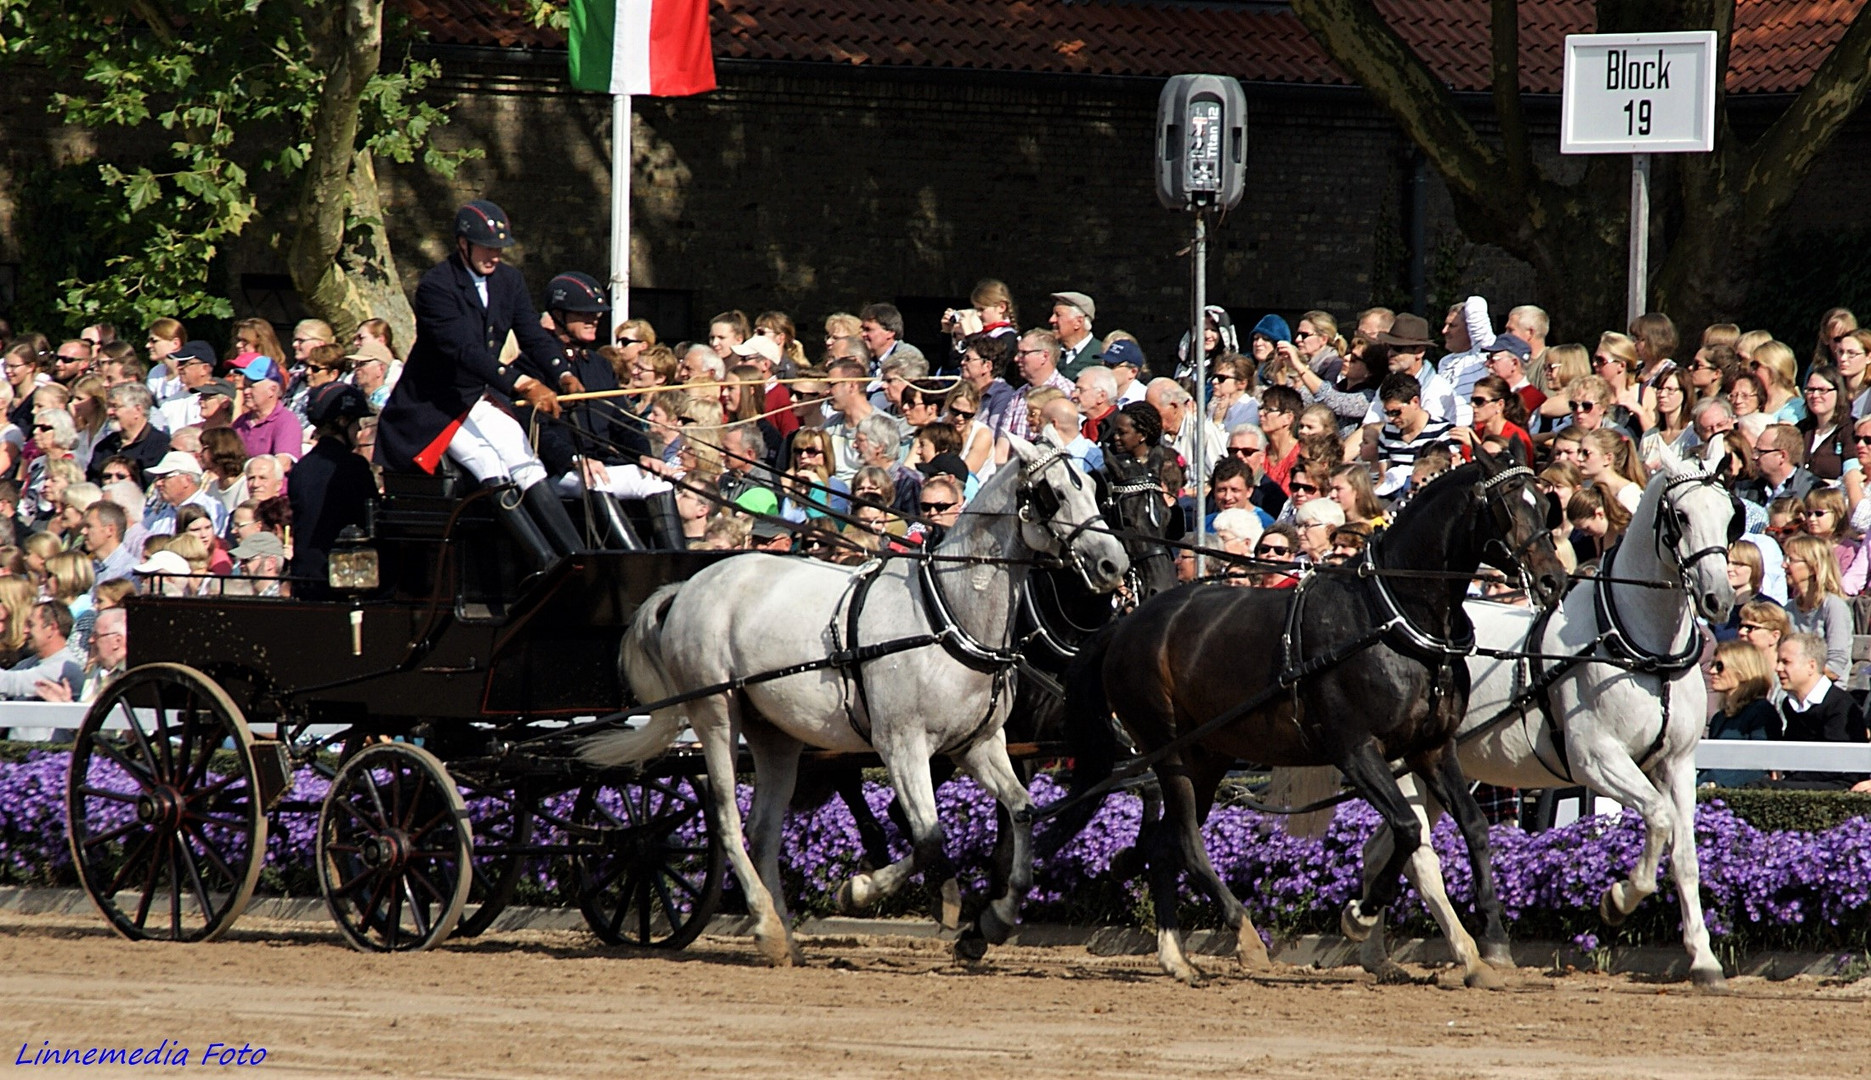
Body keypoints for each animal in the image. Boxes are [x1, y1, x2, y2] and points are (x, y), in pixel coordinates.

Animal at [583, 434, 1122, 965]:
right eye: (1054, 493)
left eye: (1095, 488)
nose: (1113, 563)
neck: (948, 616)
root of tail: (690, 584)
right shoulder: (901, 746)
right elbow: (928, 836)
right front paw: (874, 893)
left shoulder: (977, 744)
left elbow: (1022, 812)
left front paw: (994, 920)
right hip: (715, 712)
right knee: (727, 818)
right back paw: (766, 926)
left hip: (775, 734)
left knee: (762, 828)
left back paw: (784, 937)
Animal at [1055, 454, 1564, 988]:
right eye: (1506, 506)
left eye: (1545, 504)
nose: (1554, 580)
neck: (1389, 617)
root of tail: (1125, 626)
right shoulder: (1356, 749)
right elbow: (1407, 827)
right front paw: (1359, 915)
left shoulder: (1432, 748)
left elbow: (1474, 827)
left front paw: (1492, 946)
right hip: (1168, 749)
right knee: (1187, 842)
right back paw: (1244, 935)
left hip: (1206, 757)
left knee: (1162, 844)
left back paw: (1175, 955)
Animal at [1354, 437, 1728, 988]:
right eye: (1679, 515)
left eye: (1728, 513)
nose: (1719, 598)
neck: (1638, 648)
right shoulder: (1597, 760)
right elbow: (1659, 820)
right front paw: (1618, 899)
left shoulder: (1677, 763)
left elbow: (1685, 857)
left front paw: (1702, 958)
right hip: (1400, 767)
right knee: (1417, 856)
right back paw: (1463, 952)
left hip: (1433, 771)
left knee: (1383, 849)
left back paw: (1371, 947)